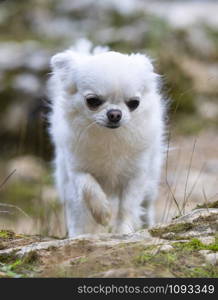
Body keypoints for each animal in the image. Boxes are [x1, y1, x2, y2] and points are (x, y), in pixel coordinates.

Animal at [47, 44, 164, 237]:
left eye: (134, 103)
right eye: (92, 101)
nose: (115, 114)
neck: (109, 137)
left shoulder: (136, 175)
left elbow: (127, 206)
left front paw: (123, 231)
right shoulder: (76, 170)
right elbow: (88, 187)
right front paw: (102, 213)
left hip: (152, 179)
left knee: (146, 206)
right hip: (66, 184)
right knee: (77, 212)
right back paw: (79, 234)